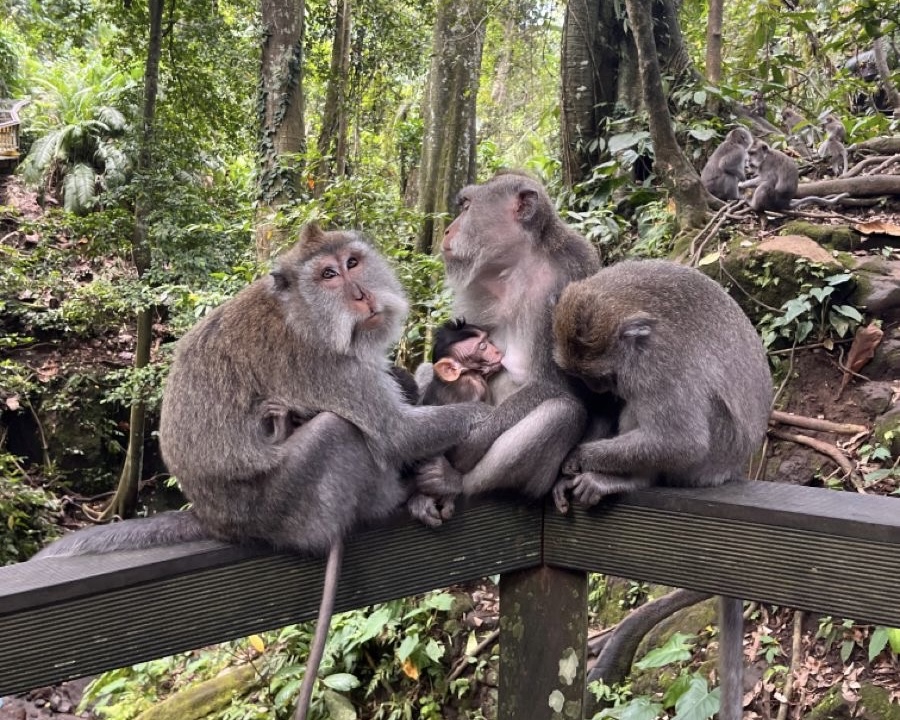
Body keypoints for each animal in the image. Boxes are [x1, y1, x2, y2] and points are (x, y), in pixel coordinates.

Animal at [33, 224, 489, 720]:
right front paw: (487, 413)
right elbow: (395, 434)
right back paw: (392, 497)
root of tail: (213, 518)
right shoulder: (323, 365)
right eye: (328, 275)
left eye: (352, 263)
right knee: (336, 431)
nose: (362, 295)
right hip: (282, 508)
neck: (302, 314)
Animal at [407, 171, 602, 527]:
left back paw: (453, 483)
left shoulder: (568, 276)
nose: (448, 229)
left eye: (467, 207)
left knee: (561, 411)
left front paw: (466, 445)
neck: (520, 263)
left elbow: (551, 384)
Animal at [549, 259, 773, 720]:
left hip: (714, 453)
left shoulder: (655, 363)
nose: (602, 390)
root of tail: (736, 466)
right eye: (584, 378)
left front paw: (577, 458)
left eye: (603, 375)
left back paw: (630, 477)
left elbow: (681, 439)